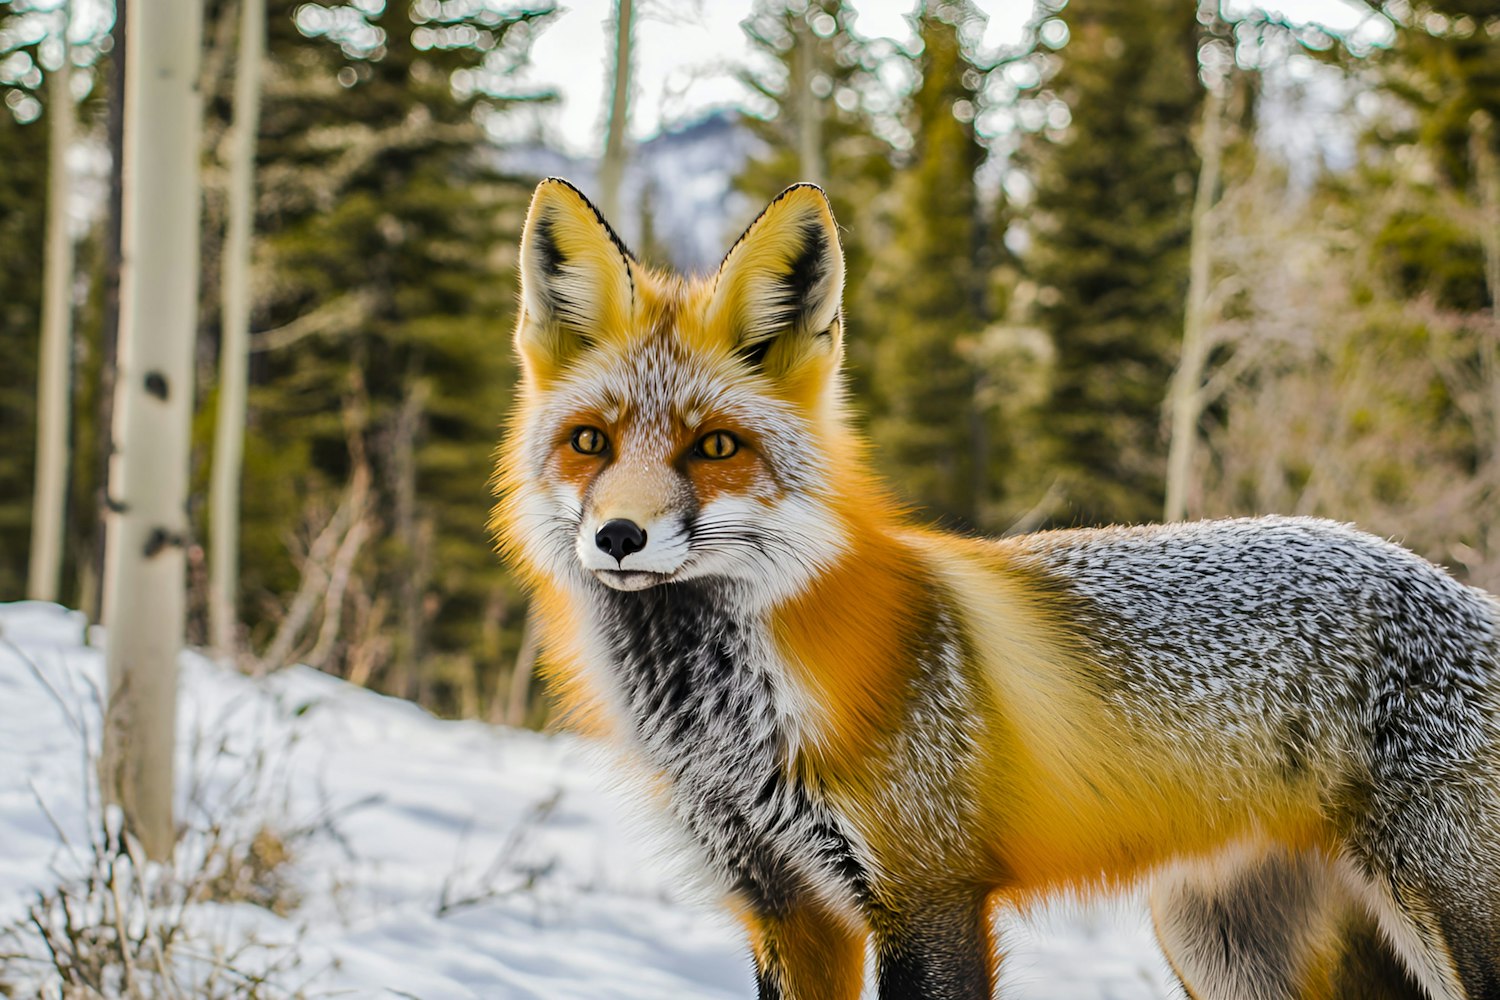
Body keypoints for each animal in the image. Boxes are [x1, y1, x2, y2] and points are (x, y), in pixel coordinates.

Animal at [492, 179, 1500, 1000]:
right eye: (589, 443)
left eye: (714, 446)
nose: (620, 537)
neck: (734, 724)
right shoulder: (784, 907)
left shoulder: (927, 897)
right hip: (1222, 947)